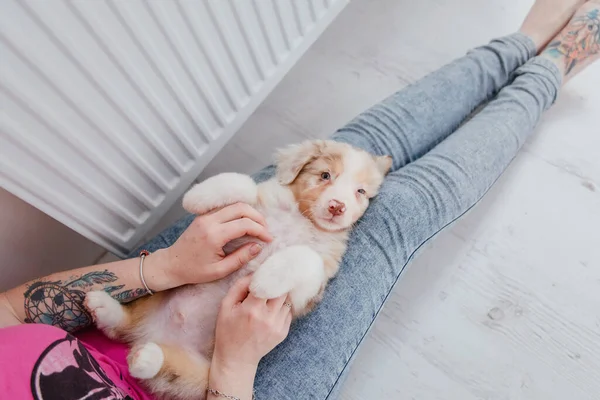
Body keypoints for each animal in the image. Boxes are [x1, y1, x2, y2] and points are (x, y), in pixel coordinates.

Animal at [85, 139, 394, 398]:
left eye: (360, 191)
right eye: (325, 175)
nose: (337, 207)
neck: (302, 219)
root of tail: (150, 333)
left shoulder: (309, 289)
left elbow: (306, 257)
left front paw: (266, 280)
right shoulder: (245, 224)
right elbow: (246, 186)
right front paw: (196, 196)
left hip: (199, 375)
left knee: (161, 367)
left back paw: (142, 354)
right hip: (163, 290)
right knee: (126, 323)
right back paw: (105, 308)